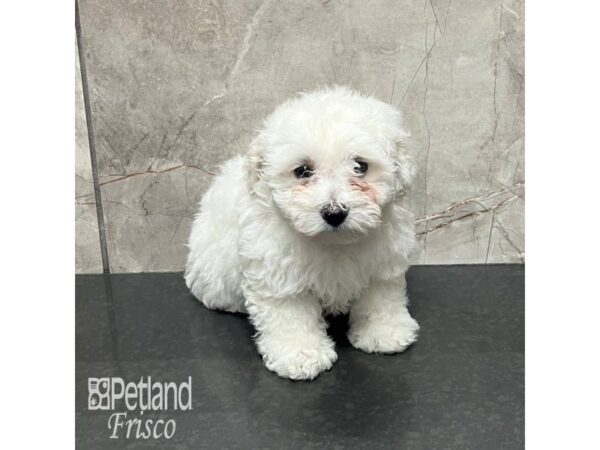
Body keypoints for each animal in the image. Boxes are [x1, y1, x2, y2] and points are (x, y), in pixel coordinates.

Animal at [185, 87, 420, 380]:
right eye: (303, 171)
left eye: (360, 166)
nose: (334, 213)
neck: (334, 243)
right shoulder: (278, 271)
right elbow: (290, 314)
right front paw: (300, 354)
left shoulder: (383, 264)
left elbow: (381, 298)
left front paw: (385, 332)